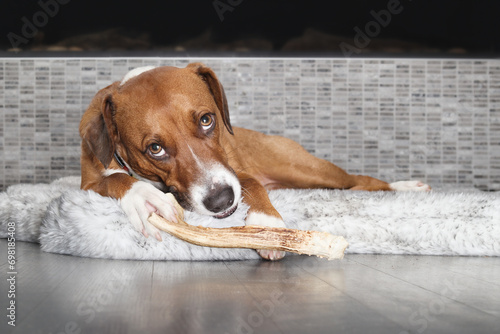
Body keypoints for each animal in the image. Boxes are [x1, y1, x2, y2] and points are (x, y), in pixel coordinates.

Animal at [79, 62, 430, 260]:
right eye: (154, 148)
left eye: (207, 120)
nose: (220, 201)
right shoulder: (88, 182)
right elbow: (115, 178)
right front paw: (143, 197)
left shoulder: (236, 171)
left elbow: (249, 183)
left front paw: (267, 225)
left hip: (308, 171)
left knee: (363, 181)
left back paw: (407, 187)